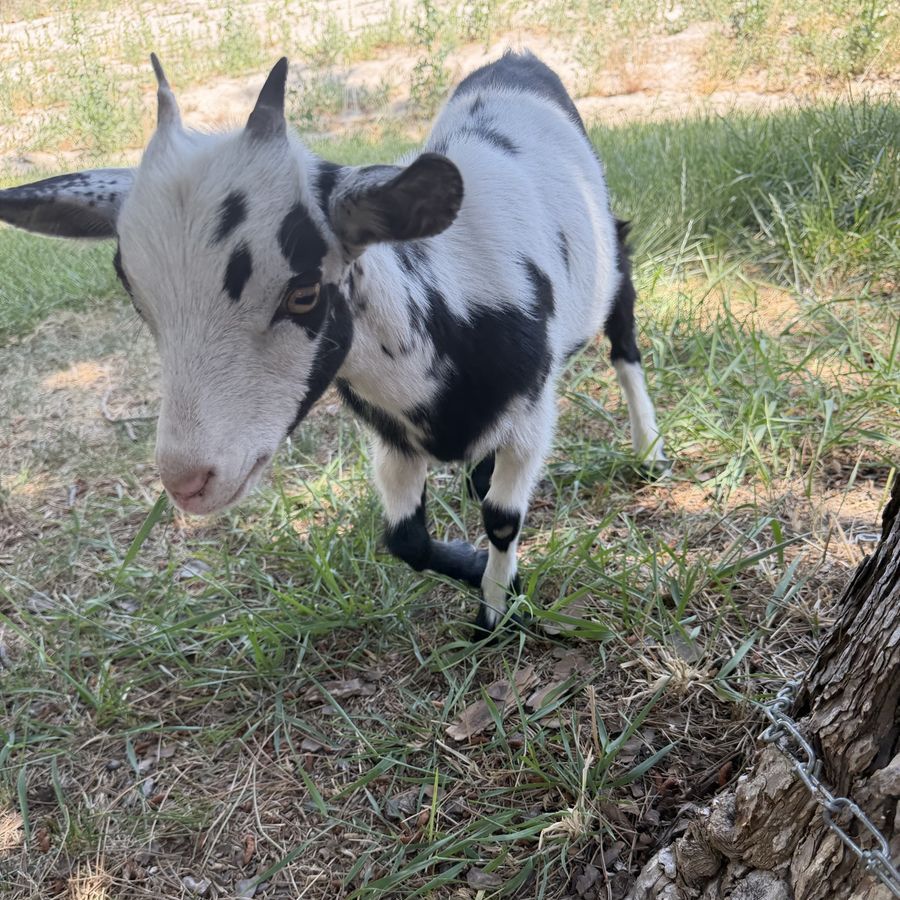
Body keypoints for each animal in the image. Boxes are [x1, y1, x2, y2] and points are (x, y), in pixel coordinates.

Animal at [0, 52, 667, 636]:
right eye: (137, 296)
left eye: (302, 294)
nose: (187, 481)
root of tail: (516, 59)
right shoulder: (391, 438)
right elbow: (405, 540)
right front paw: (482, 571)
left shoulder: (531, 413)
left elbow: (503, 520)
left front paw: (497, 616)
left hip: (612, 252)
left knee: (624, 344)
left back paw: (649, 450)